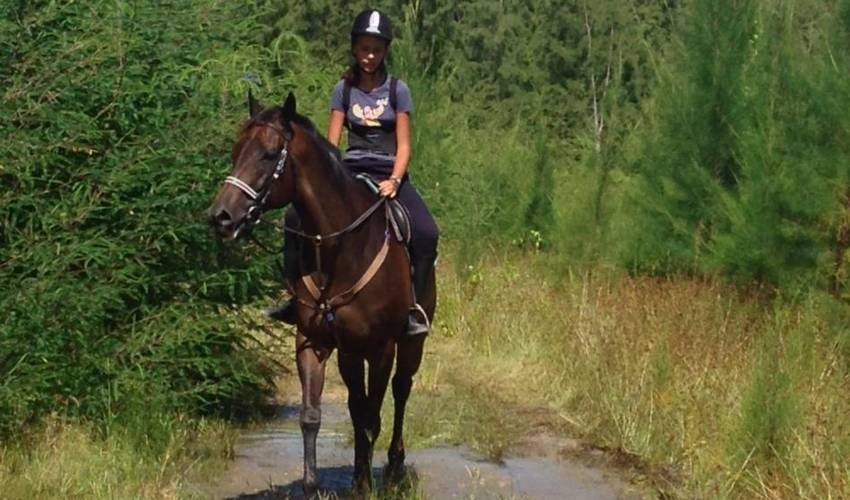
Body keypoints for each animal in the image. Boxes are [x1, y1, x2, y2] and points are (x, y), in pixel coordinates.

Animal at [208, 92, 435, 495]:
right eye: (236, 152)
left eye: (268, 155)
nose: (221, 217)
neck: (342, 247)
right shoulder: (313, 341)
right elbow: (313, 417)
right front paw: (314, 486)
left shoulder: (382, 348)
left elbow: (373, 415)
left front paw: (364, 486)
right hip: (350, 352)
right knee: (357, 405)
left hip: (409, 343)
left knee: (401, 390)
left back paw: (393, 466)